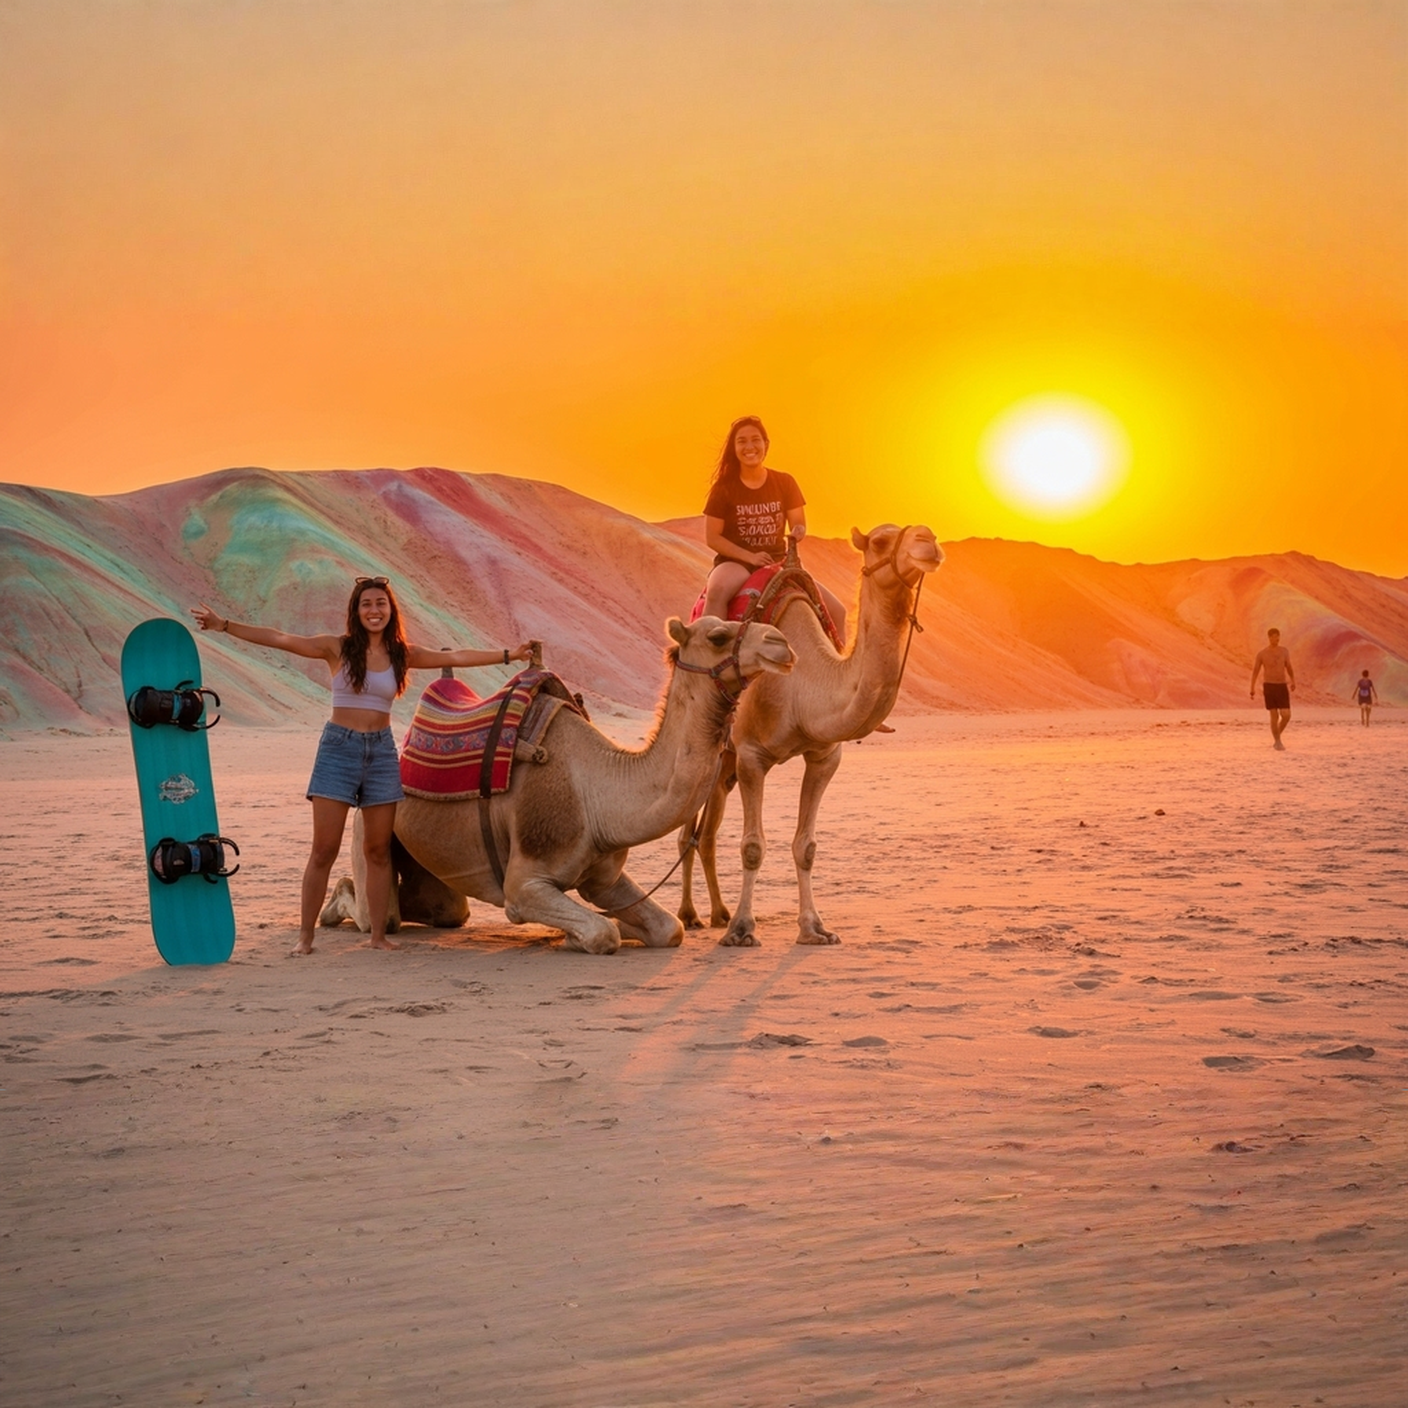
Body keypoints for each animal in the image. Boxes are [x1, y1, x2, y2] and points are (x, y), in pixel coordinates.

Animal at [336, 617, 794, 954]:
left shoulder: (603, 877)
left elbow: (669, 929)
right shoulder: (524, 884)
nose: (782, 644)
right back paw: (335, 905)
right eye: (718, 636)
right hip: (370, 820)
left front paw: (609, 927)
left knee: (443, 909)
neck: (597, 792)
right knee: (382, 913)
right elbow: (601, 934)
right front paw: (576, 937)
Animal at [678, 523, 943, 947]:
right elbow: (752, 846)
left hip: (725, 766)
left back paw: (718, 913)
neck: (801, 687)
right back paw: (690, 915)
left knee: (705, 837)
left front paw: (814, 928)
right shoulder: (752, 755)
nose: (927, 539)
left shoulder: (823, 756)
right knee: (688, 834)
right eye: (880, 541)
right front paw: (743, 929)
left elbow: (806, 847)